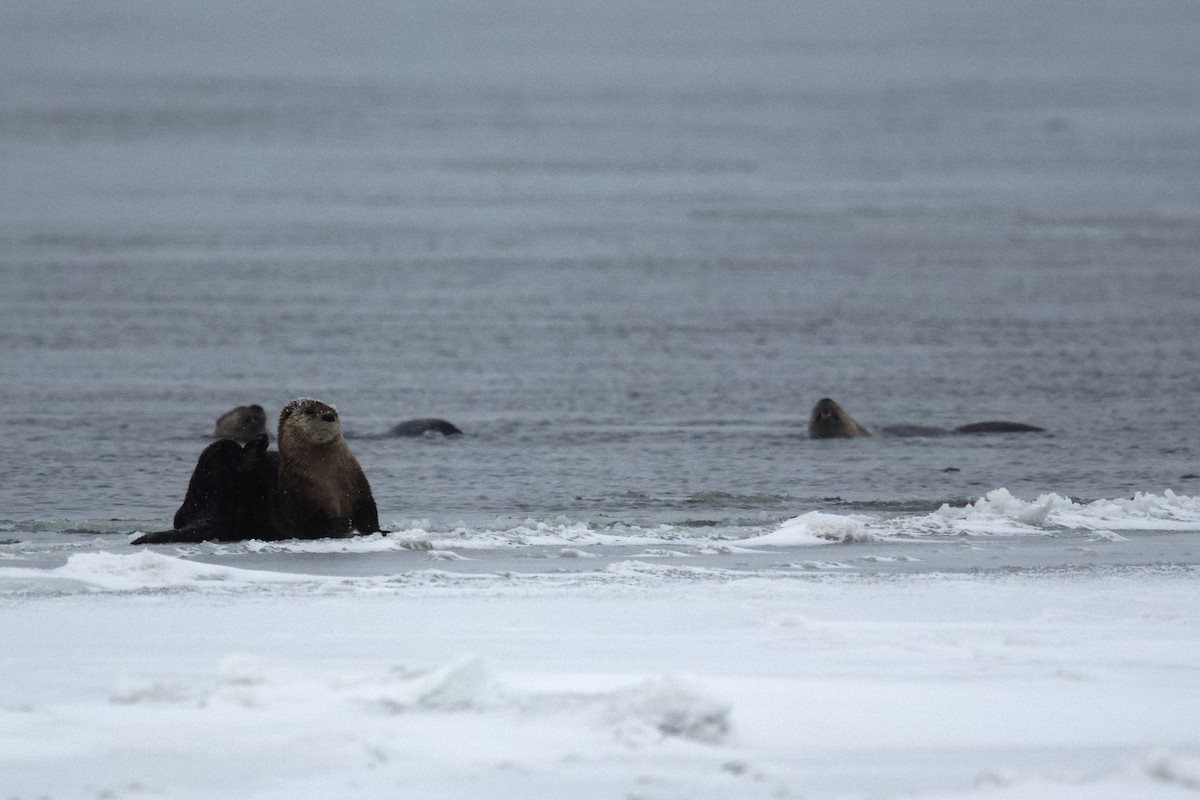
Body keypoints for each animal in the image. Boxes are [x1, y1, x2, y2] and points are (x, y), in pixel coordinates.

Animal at [134, 398, 380, 545]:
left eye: (332, 411)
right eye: (310, 412)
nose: (329, 416)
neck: (328, 480)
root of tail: (207, 508)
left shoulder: (358, 486)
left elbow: (369, 514)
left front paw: (379, 531)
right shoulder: (295, 496)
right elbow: (307, 522)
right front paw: (339, 525)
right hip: (215, 460)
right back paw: (255, 447)